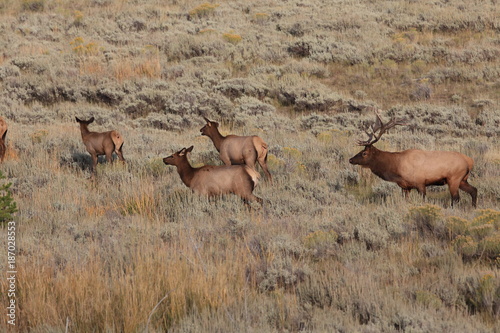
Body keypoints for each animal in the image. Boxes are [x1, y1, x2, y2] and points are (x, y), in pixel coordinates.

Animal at [350, 110, 478, 206]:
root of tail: (470, 161)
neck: (396, 168)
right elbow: (407, 201)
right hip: (463, 179)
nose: (350, 159)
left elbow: (423, 200)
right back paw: (473, 207)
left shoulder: (420, 183)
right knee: (474, 190)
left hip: (454, 178)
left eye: (364, 153)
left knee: (456, 198)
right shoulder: (405, 186)